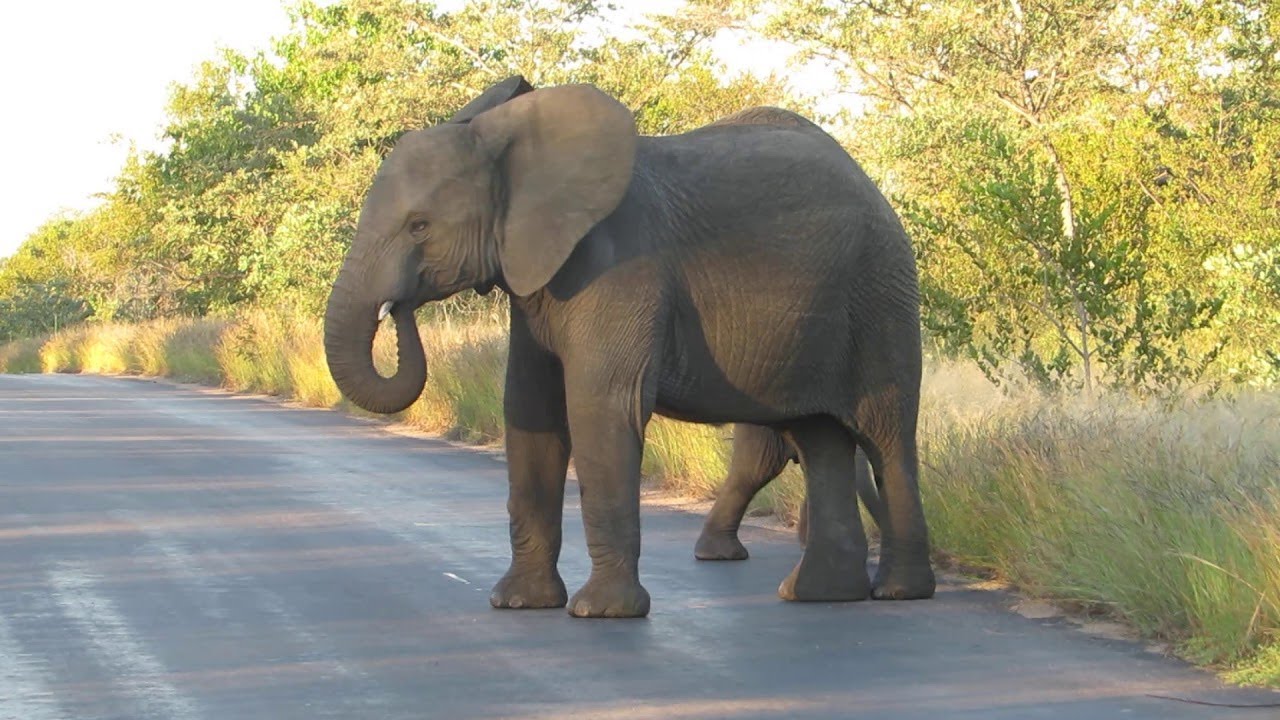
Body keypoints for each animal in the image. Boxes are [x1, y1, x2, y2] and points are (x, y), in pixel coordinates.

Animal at [323, 76, 936, 618]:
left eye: (419, 226)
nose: (398, 309)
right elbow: (529, 409)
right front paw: (518, 604)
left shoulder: (620, 269)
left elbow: (598, 408)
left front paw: (601, 612)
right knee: (820, 438)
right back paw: (817, 595)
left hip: (882, 296)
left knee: (883, 437)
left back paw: (899, 592)